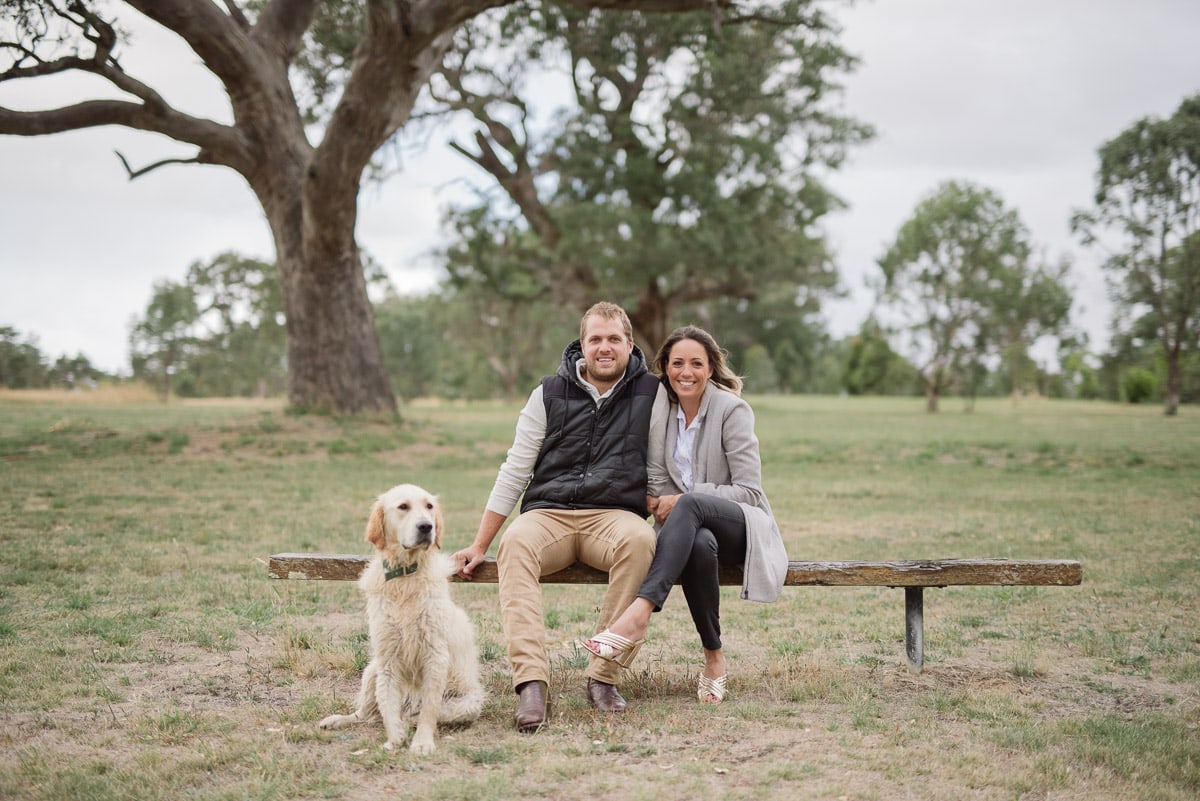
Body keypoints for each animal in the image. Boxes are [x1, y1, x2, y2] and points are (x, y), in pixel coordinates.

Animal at [324, 484, 487, 753]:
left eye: (429, 506)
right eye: (403, 507)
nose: (426, 527)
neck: (404, 577)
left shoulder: (435, 655)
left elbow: (428, 710)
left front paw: (421, 743)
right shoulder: (387, 657)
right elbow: (388, 706)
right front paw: (394, 739)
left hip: (467, 702)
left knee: (419, 713)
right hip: (372, 669)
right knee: (365, 713)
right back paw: (338, 719)